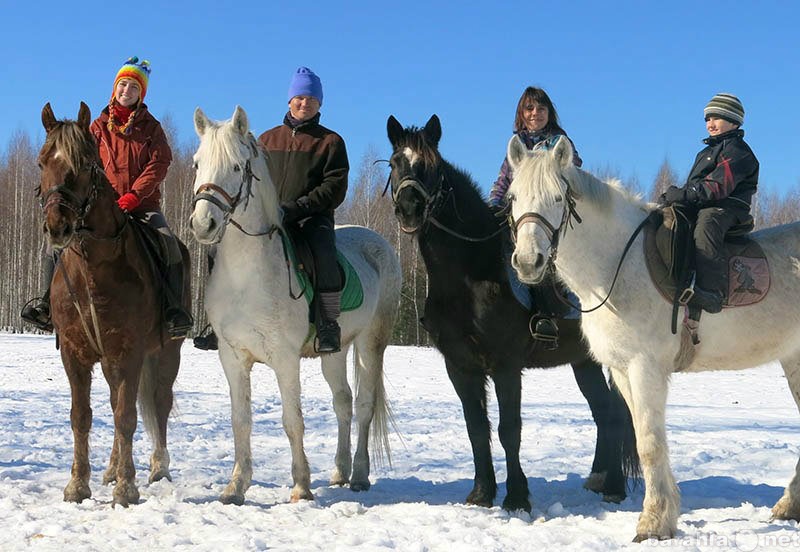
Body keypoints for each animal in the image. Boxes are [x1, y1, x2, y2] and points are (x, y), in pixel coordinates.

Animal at [38, 101, 188, 506]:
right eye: (42, 162)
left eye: (85, 163)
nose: (57, 227)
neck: (93, 268)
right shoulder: (74, 353)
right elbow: (82, 416)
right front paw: (79, 485)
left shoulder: (130, 352)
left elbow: (126, 417)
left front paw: (127, 488)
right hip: (108, 362)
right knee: (115, 400)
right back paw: (110, 469)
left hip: (167, 353)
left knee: (160, 403)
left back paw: (158, 468)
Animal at [190, 106, 404, 504]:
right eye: (197, 164)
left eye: (237, 166)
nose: (203, 224)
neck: (247, 275)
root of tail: (377, 240)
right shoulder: (232, 357)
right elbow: (240, 421)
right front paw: (236, 486)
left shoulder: (284, 358)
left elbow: (293, 421)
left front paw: (301, 487)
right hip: (335, 350)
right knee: (343, 402)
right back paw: (340, 471)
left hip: (371, 342)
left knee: (365, 405)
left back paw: (359, 475)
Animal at [388, 114, 636, 512]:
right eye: (395, 163)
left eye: (432, 166)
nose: (409, 208)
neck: (469, 273)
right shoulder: (460, 367)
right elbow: (476, 428)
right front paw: (481, 493)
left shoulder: (506, 365)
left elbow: (509, 430)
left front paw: (517, 497)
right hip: (584, 361)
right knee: (604, 413)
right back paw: (599, 478)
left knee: (615, 413)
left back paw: (613, 485)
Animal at [510, 136, 800, 540]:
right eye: (513, 197)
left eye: (557, 197)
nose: (528, 262)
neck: (616, 266)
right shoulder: (620, 370)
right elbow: (641, 436)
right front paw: (664, 514)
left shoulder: (645, 367)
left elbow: (648, 443)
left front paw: (653, 522)